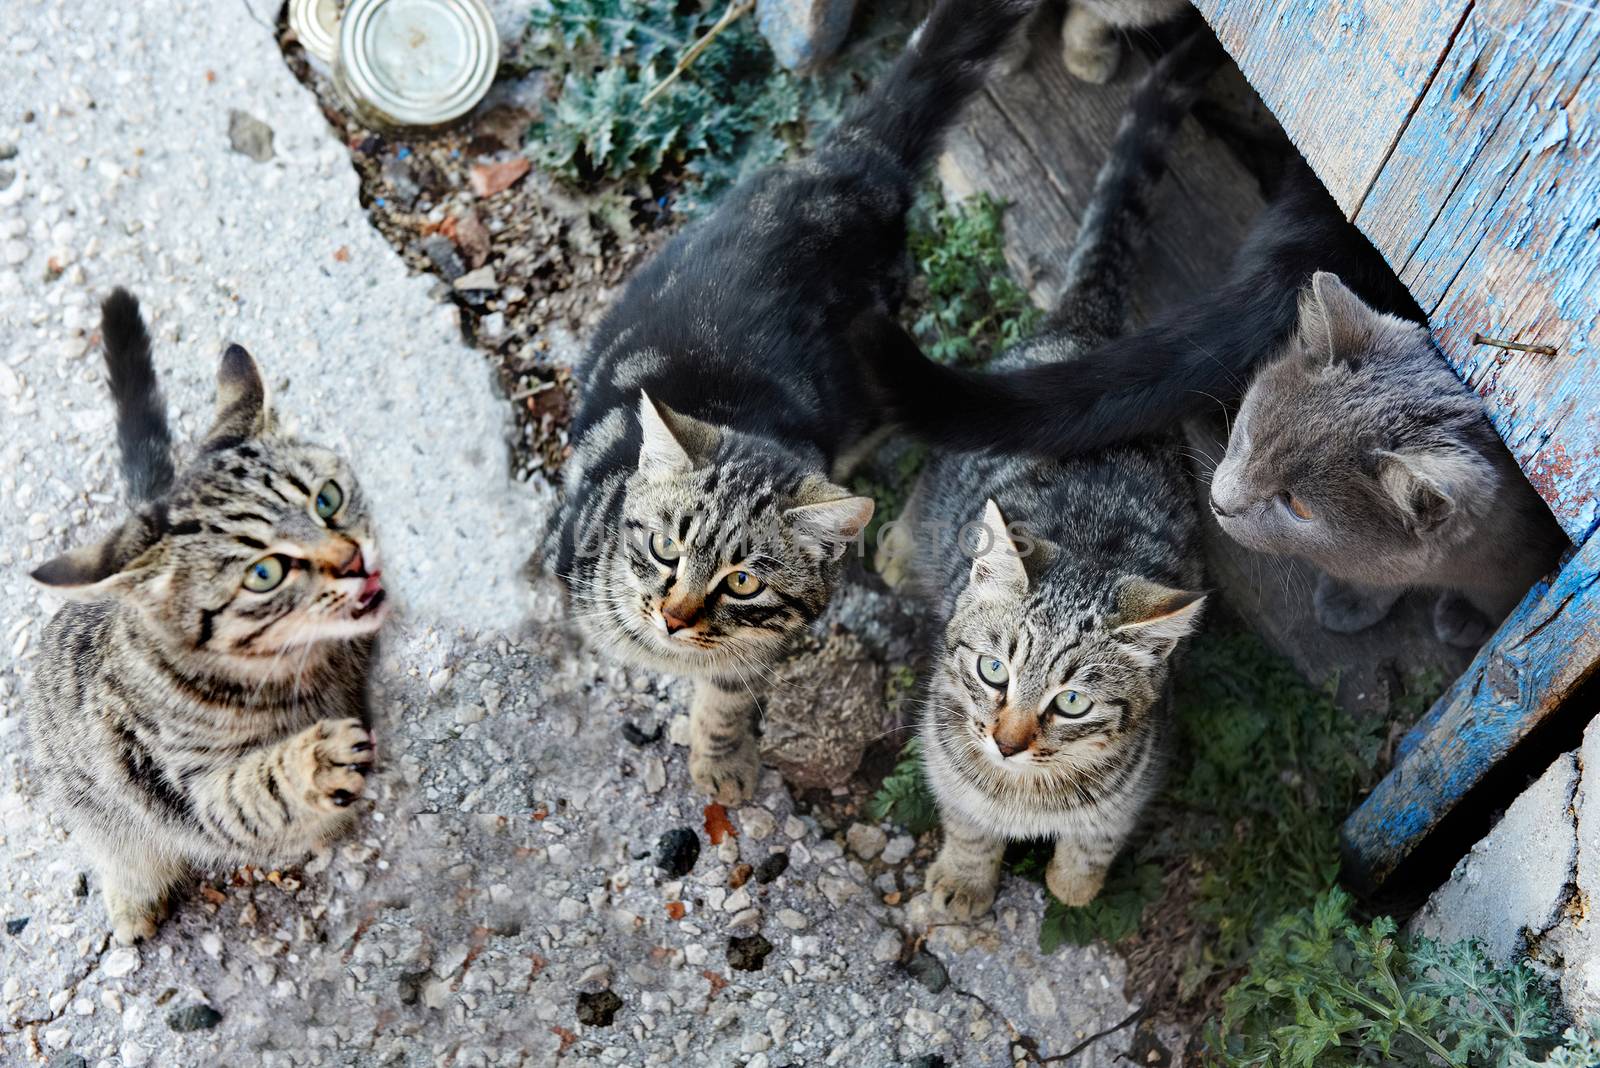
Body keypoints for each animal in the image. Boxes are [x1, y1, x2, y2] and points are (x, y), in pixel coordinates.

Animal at [27, 292, 387, 940]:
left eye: (327, 500)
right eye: (265, 573)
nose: (355, 560)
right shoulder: (179, 785)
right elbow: (247, 791)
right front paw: (310, 763)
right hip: (99, 811)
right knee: (122, 853)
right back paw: (131, 902)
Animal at [544, 0, 1043, 799]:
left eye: (744, 582)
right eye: (663, 547)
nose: (674, 617)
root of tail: (851, 165)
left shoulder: (756, 650)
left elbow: (726, 694)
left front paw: (720, 760)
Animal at [883, 33, 1216, 920]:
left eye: (1071, 702)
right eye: (992, 671)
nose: (1006, 740)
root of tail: (1088, 327)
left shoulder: (1134, 777)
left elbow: (1095, 838)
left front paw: (1072, 886)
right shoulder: (946, 754)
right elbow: (968, 823)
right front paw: (964, 883)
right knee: (921, 497)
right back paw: (896, 549)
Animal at [1209, 271, 1561, 645]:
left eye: (1297, 506)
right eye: (1248, 435)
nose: (1218, 503)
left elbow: (1499, 595)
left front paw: (1470, 614)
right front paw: (1352, 597)